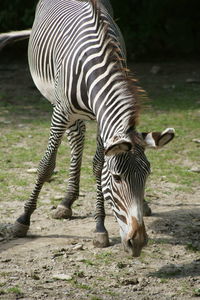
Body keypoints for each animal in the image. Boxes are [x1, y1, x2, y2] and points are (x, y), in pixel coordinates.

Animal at [0, 0, 175, 258]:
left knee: (77, 138)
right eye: (117, 178)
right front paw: (23, 219)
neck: (94, 66)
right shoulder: (60, 111)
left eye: (147, 175)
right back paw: (65, 202)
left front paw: (99, 227)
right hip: (59, 104)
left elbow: (98, 166)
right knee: (75, 140)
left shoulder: (103, 119)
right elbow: (46, 166)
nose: (138, 242)